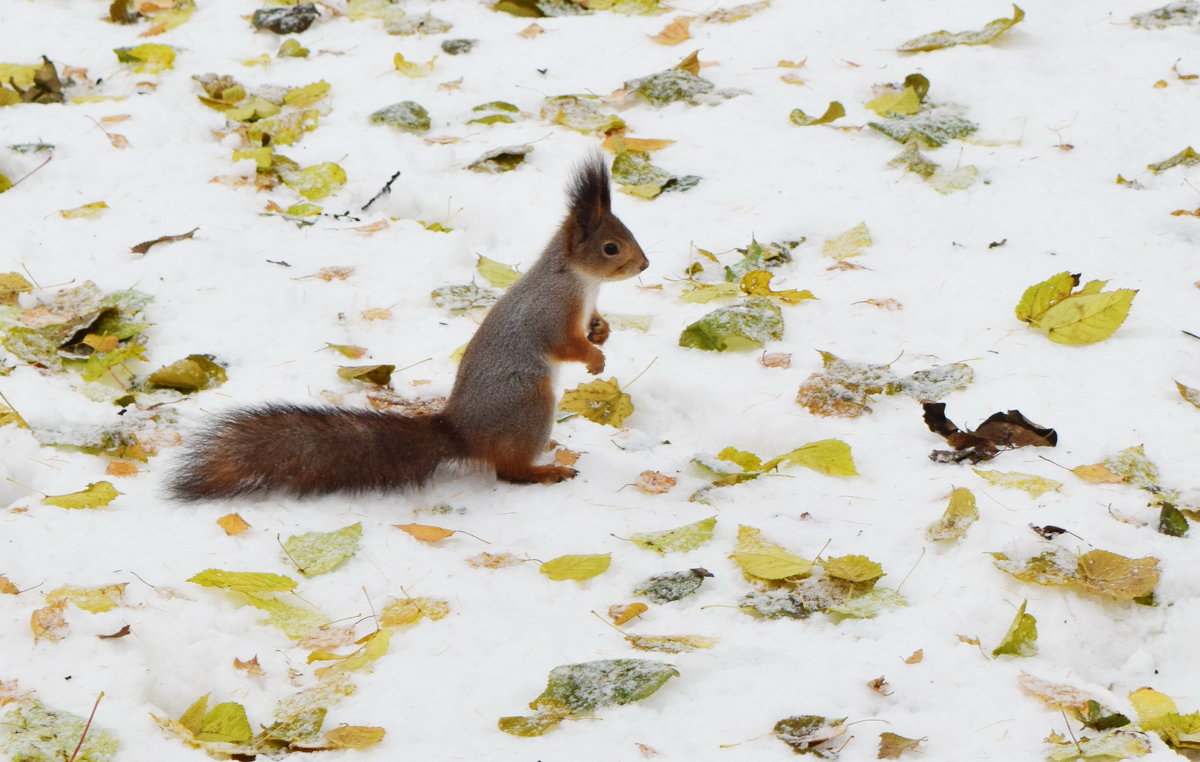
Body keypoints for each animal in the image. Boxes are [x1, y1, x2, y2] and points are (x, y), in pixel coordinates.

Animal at [169, 156, 648, 501]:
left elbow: (593, 327)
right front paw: (594, 358)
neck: (580, 281)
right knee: (507, 471)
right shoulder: (550, 312)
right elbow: (564, 344)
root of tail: (460, 433)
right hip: (528, 402)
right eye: (611, 248)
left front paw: (602, 334)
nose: (644, 264)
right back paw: (545, 470)